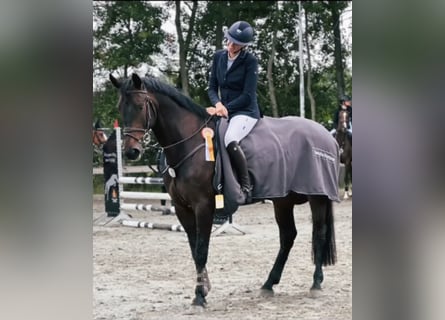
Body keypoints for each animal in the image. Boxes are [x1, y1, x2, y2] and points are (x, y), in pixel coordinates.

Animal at [109, 73, 334, 308]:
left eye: (140, 105)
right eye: (120, 107)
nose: (131, 151)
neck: (190, 143)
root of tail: (324, 133)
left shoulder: (203, 206)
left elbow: (201, 250)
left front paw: (199, 295)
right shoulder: (182, 208)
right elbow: (194, 249)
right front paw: (204, 287)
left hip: (317, 197)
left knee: (319, 232)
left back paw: (316, 283)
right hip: (283, 200)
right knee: (288, 236)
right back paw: (268, 284)